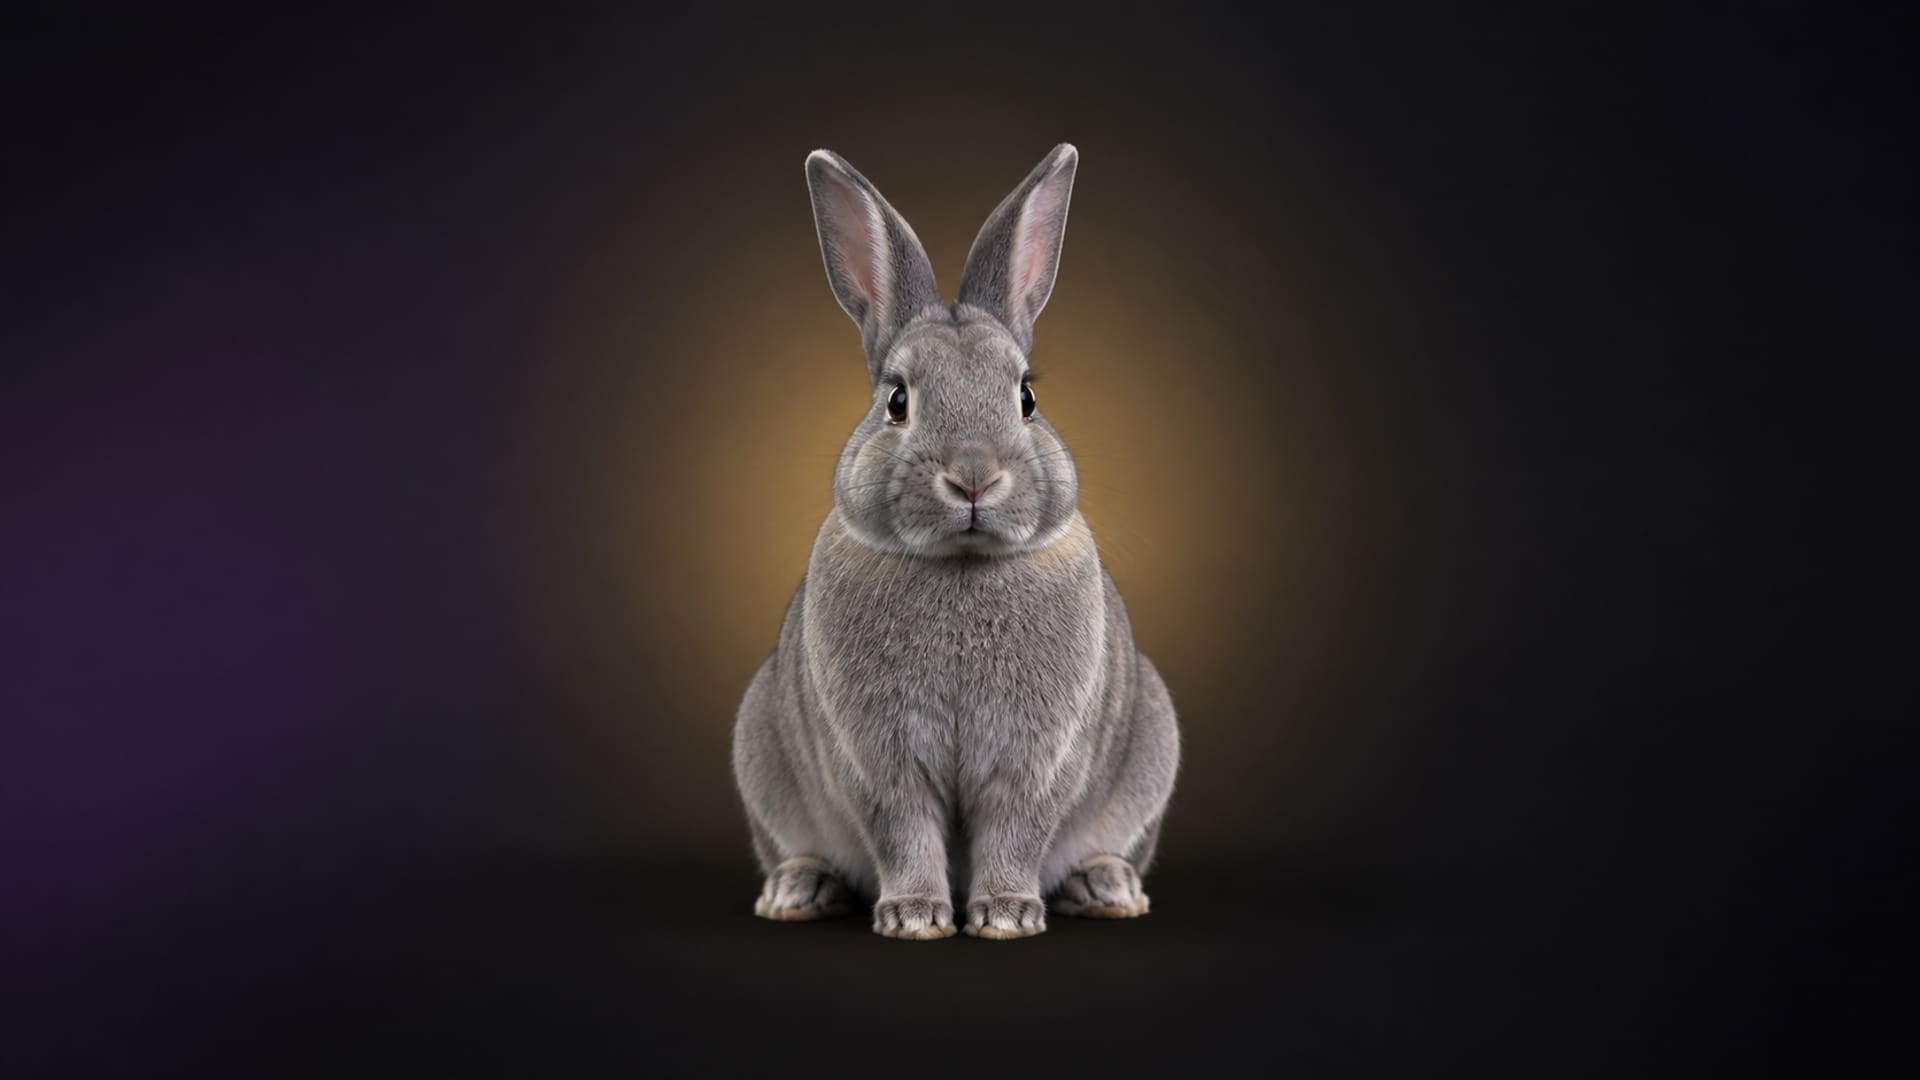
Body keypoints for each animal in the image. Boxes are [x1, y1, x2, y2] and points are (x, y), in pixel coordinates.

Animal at [731, 144, 1179, 940]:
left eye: (1027, 396)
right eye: (897, 401)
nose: (974, 477)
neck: (962, 563)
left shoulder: (1033, 762)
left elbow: (1013, 829)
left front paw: (1005, 914)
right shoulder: (882, 764)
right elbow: (904, 829)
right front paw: (915, 916)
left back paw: (1106, 886)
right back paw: (796, 890)